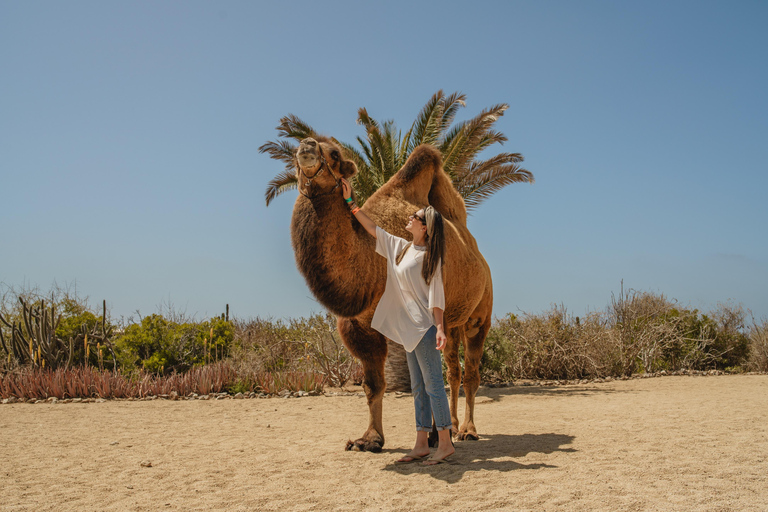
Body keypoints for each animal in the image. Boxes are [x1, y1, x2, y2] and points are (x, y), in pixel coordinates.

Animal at [291, 136, 493, 452]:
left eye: (334, 154)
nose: (306, 146)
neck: (374, 266)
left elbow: (424, 378)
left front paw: (431, 436)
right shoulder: (357, 327)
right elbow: (373, 384)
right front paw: (369, 439)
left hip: (480, 316)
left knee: (471, 371)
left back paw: (468, 431)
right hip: (451, 324)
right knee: (453, 370)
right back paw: (452, 426)